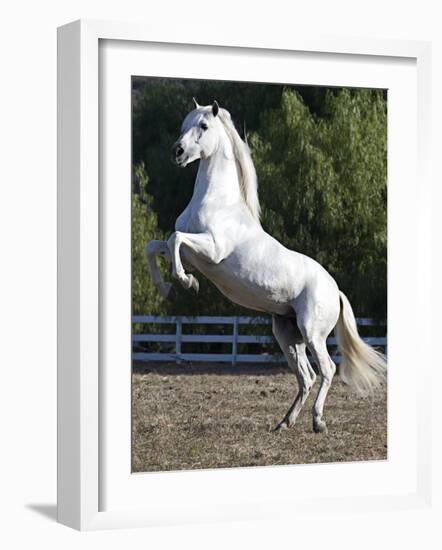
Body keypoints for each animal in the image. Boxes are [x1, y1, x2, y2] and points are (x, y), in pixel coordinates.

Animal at [146, 99, 386, 436]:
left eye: (203, 126)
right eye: (184, 125)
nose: (177, 152)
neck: (217, 202)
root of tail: (336, 290)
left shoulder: (212, 250)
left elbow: (175, 238)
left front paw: (186, 282)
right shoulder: (191, 253)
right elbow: (157, 246)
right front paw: (167, 288)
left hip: (312, 333)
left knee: (327, 370)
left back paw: (318, 422)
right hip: (287, 334)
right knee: (307, 376)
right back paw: (284, 423)